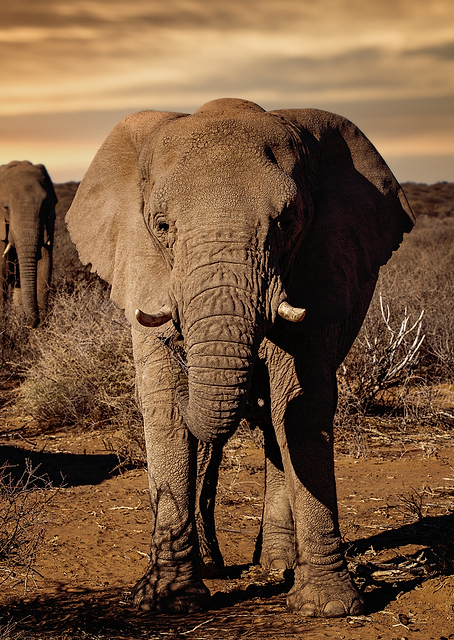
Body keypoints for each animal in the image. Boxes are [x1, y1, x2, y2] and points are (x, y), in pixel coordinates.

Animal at [66, 98, 414, 617]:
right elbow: (163, 404)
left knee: (276, 425)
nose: (181, 347)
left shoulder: (320, 265)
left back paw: (278, 566)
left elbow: (300, 405)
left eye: (287, 222)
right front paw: (168, 602)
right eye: (161, 226)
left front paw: (330, 608)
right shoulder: (143, 268)